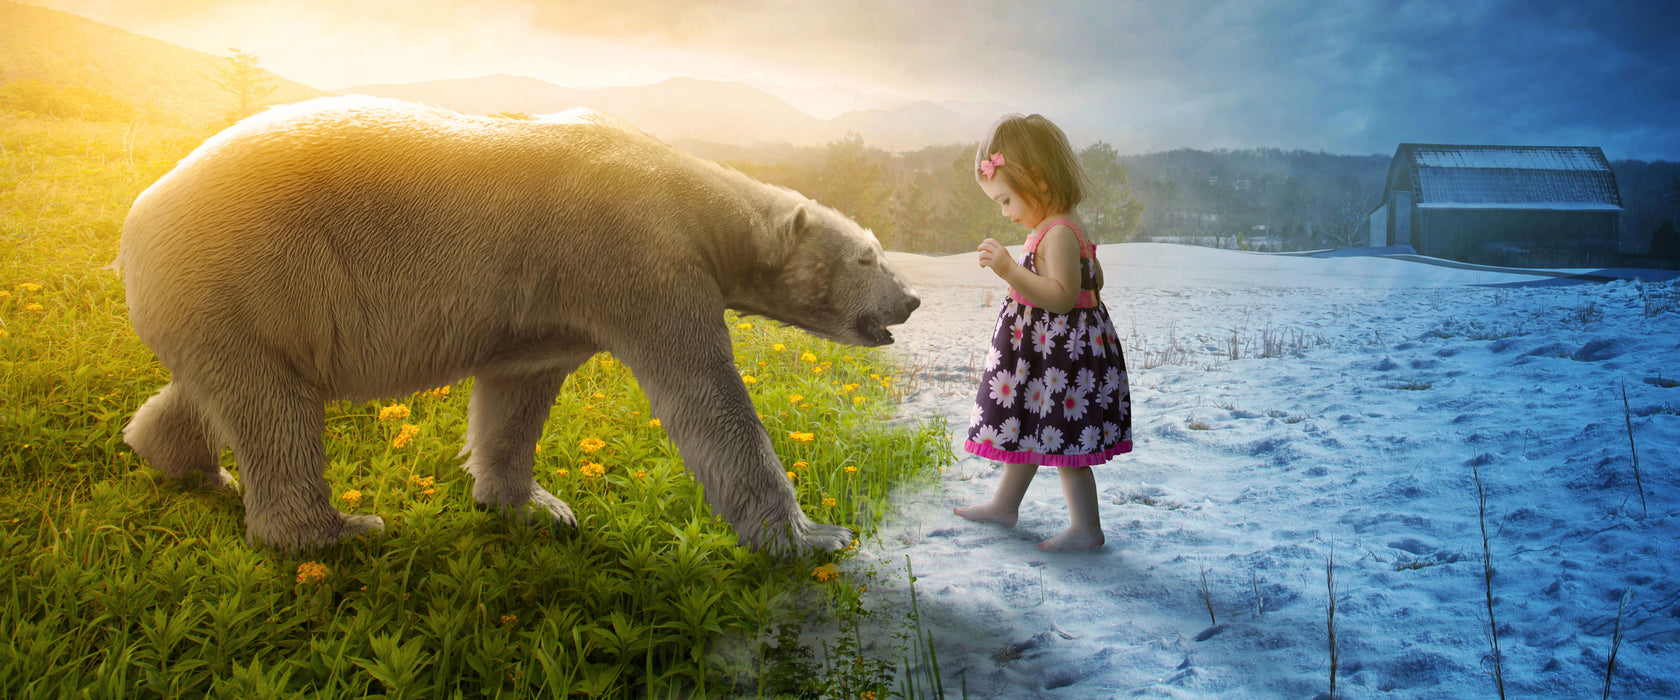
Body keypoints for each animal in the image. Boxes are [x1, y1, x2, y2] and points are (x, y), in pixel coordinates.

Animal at [118, 96, 927, 550]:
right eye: (870, 255)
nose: (911, 301)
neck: (691, 197)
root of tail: (138, 219)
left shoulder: (550, 303)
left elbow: (517, 392)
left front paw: (533, 505)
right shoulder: (643, 262)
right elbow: (707, 398)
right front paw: (812, 537)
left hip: (219, 305)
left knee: (220, 391)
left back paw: (185, 463)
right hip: (253, 275)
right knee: (276, 412)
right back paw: (334, 532)